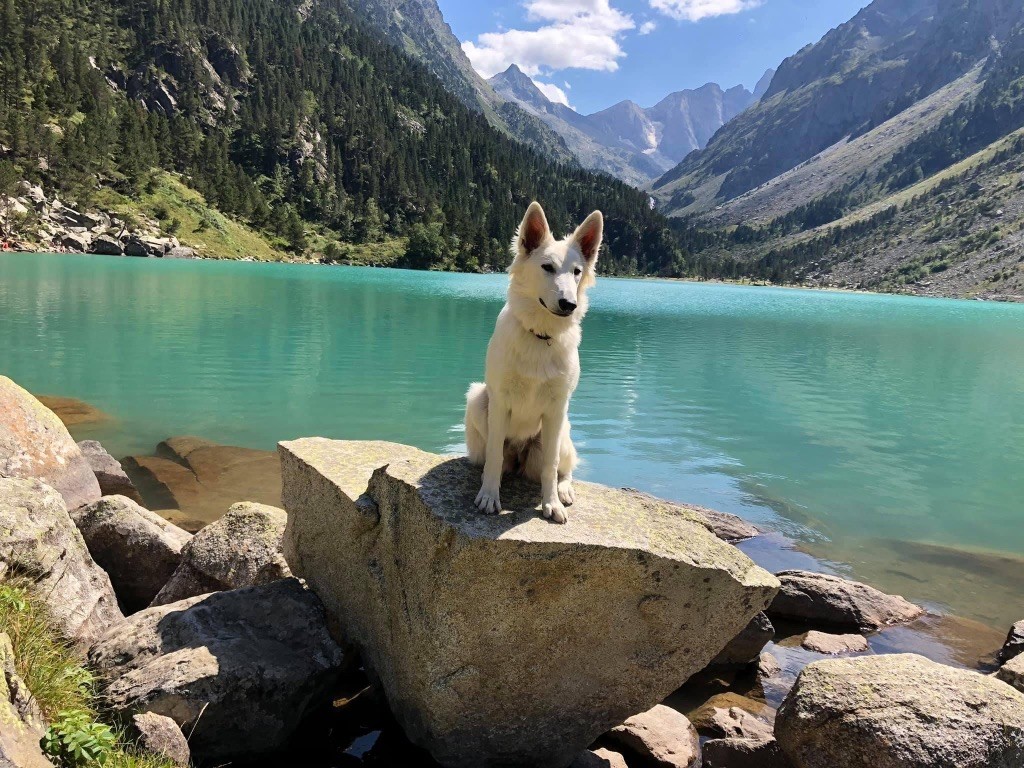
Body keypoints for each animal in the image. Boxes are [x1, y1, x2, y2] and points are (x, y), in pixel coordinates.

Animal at [464, 201, 603, 523]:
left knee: (564, 468)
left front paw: (550, 503)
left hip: (562, 431)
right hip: (477, 399)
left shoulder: (556, 408)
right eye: (547, 267)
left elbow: (550, 468)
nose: (569, 304)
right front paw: (489, 496)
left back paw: (564, 491)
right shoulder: (499, 401)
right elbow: (494, 458)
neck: (540, 335)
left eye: (577, 272)